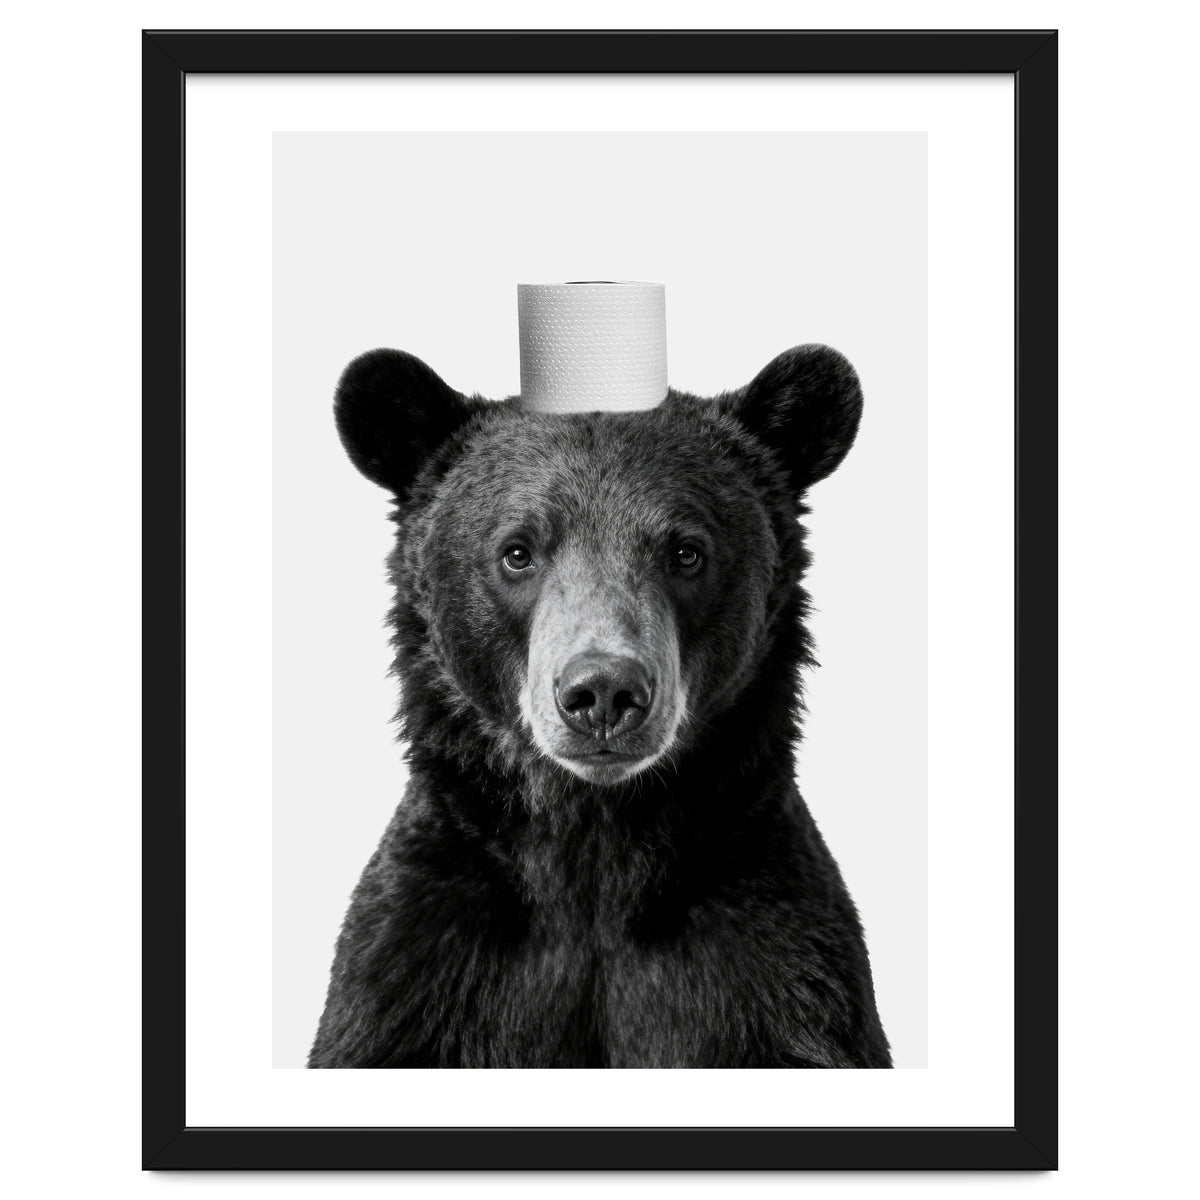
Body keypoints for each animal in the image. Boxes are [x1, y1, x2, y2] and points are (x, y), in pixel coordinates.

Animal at [308, 343, 892, 1069]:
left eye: (686, 551)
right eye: (517, 551)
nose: (604, 693)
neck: (595, 845)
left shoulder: (777, 966)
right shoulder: (419, 967)